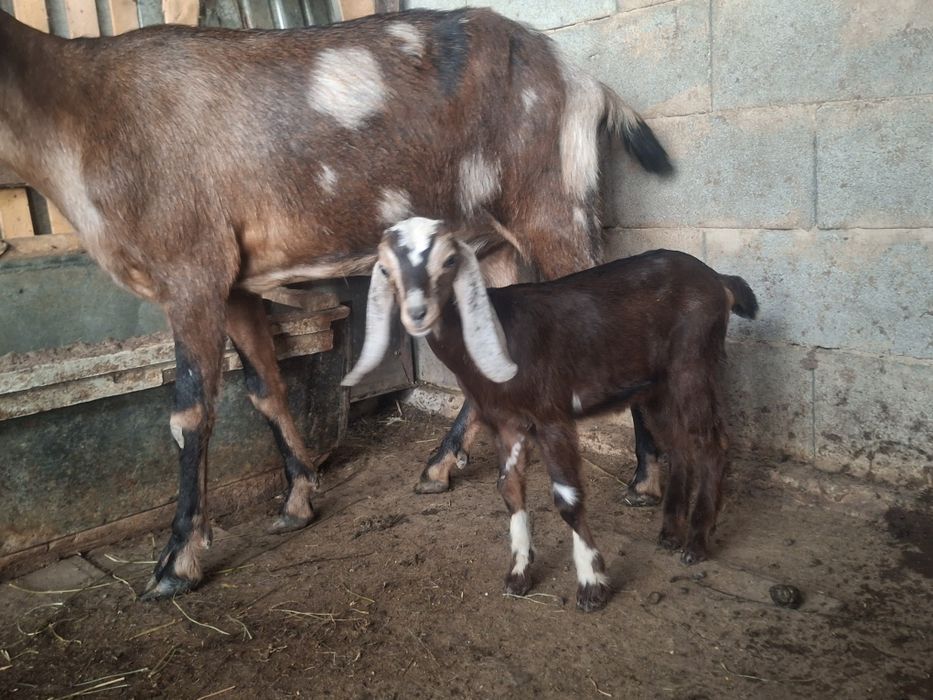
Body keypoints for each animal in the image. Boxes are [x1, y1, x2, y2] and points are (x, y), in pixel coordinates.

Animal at [0, 8, 671, 599]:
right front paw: (297, 501)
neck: (80, 108)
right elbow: (265, 388)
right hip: (490, 239)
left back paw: (646, 480)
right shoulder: (237, 284)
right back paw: (439, 467)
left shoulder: (190, 269)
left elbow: (189, 412)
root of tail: (586, 82)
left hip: (554, 206)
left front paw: (176, 562)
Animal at [343, 217, 758, 611]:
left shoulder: (551, 416)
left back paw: (696, 543)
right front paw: (518, 575)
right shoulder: (507, 423)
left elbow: (567, 498)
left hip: (693, 366)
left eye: (448, 260)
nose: (417, 313)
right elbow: (509, 489)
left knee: (711, 444)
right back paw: (670, 533)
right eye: (386, 269)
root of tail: (718, 280)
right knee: (681, 446)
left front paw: (591, 586)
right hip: (657, 387)